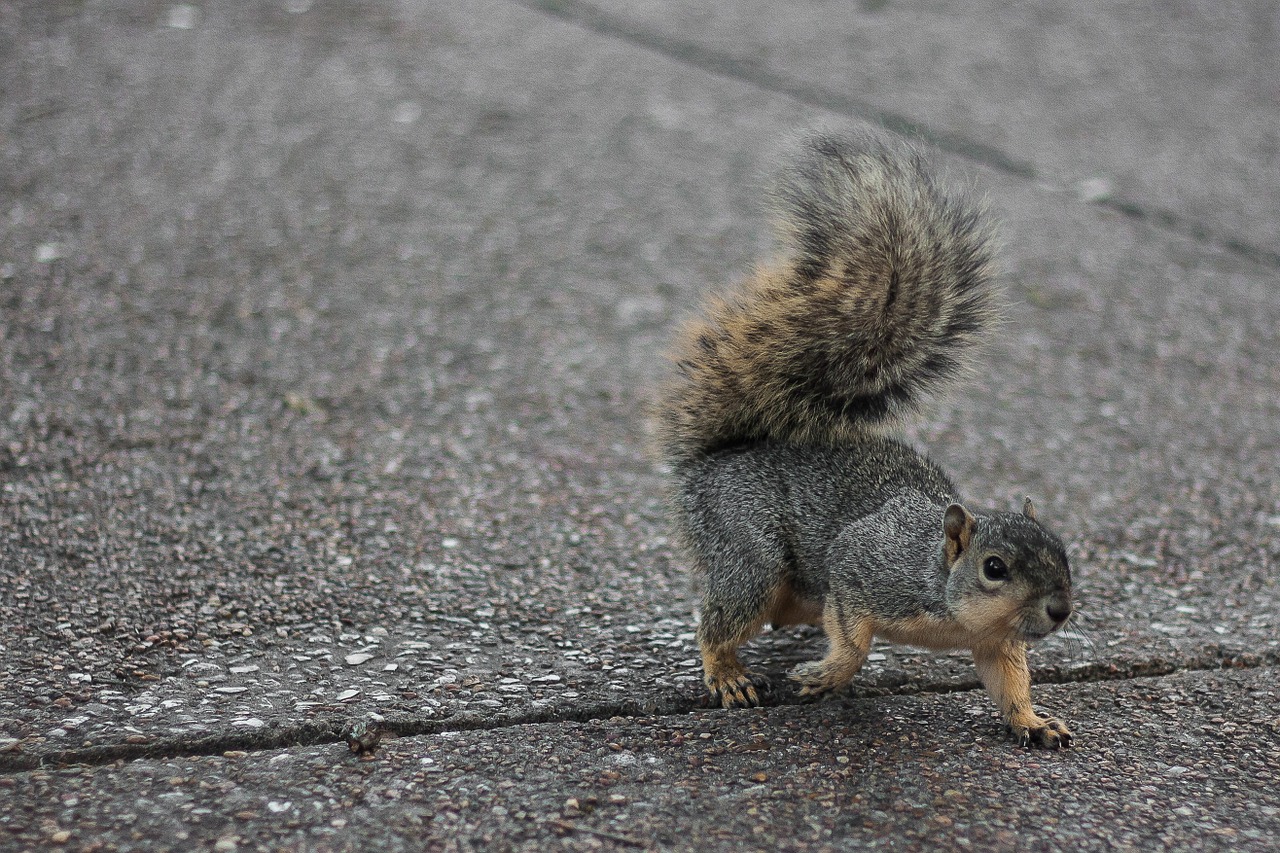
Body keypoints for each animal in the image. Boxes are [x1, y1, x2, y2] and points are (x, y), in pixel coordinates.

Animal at [655, 129, 1075, 747]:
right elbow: (853, 640)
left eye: (1063, 553)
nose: (1060, 610)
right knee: (722, 615)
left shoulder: (997, 644)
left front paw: (1034, 721)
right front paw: (825, 676)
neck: (942, 590)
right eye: (994, 568)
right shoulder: (862, 569)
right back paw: (727, 671)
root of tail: (718, 458)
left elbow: (1011, 685)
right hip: (748, 545)